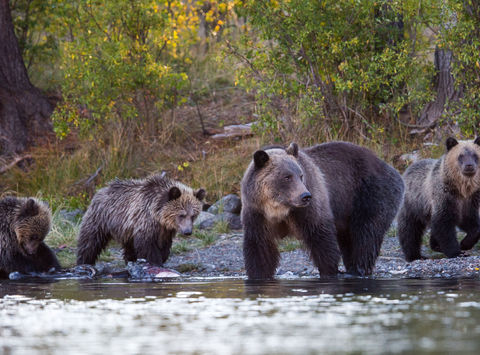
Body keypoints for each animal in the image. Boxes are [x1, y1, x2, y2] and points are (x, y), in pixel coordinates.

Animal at [77, 175, 206, 268]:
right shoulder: (145, 222)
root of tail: (101, 190)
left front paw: (162, 257)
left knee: (129, 247)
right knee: (90, 241)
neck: (158, 214)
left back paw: (130, 260)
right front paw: (155, 261)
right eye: (182, 215)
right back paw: (83, 261)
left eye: (193, 215)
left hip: (126, 229)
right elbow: (147, 246)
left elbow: (165, 245)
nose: (188, 231)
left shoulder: (164, 230)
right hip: (101, 219)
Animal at [242, 143, 404, 280]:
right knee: (349, 239)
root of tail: (390, 167)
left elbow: (321, 237)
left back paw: (358, 269)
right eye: (287, 177)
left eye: (300, 175)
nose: (305, 196)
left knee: (366, 234)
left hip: (370, 194)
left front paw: (329, 272)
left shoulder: (308, 209)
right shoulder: (257, 214)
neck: (279, 208)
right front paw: (258, 275)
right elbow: (259, 248)